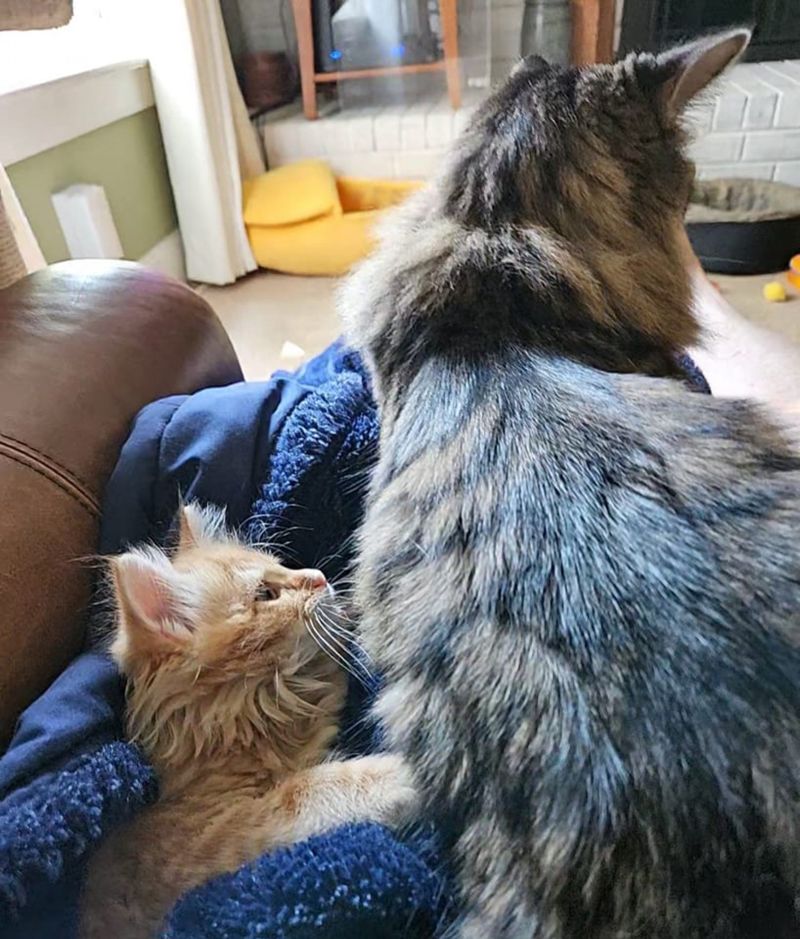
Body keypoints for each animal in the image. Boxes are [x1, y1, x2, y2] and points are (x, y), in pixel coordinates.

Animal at [80, 506, 416, 939]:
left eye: (283, 565)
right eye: (265, 595)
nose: (319, 577)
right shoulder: (208, 843)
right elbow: (309, 792)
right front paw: (404, 775)